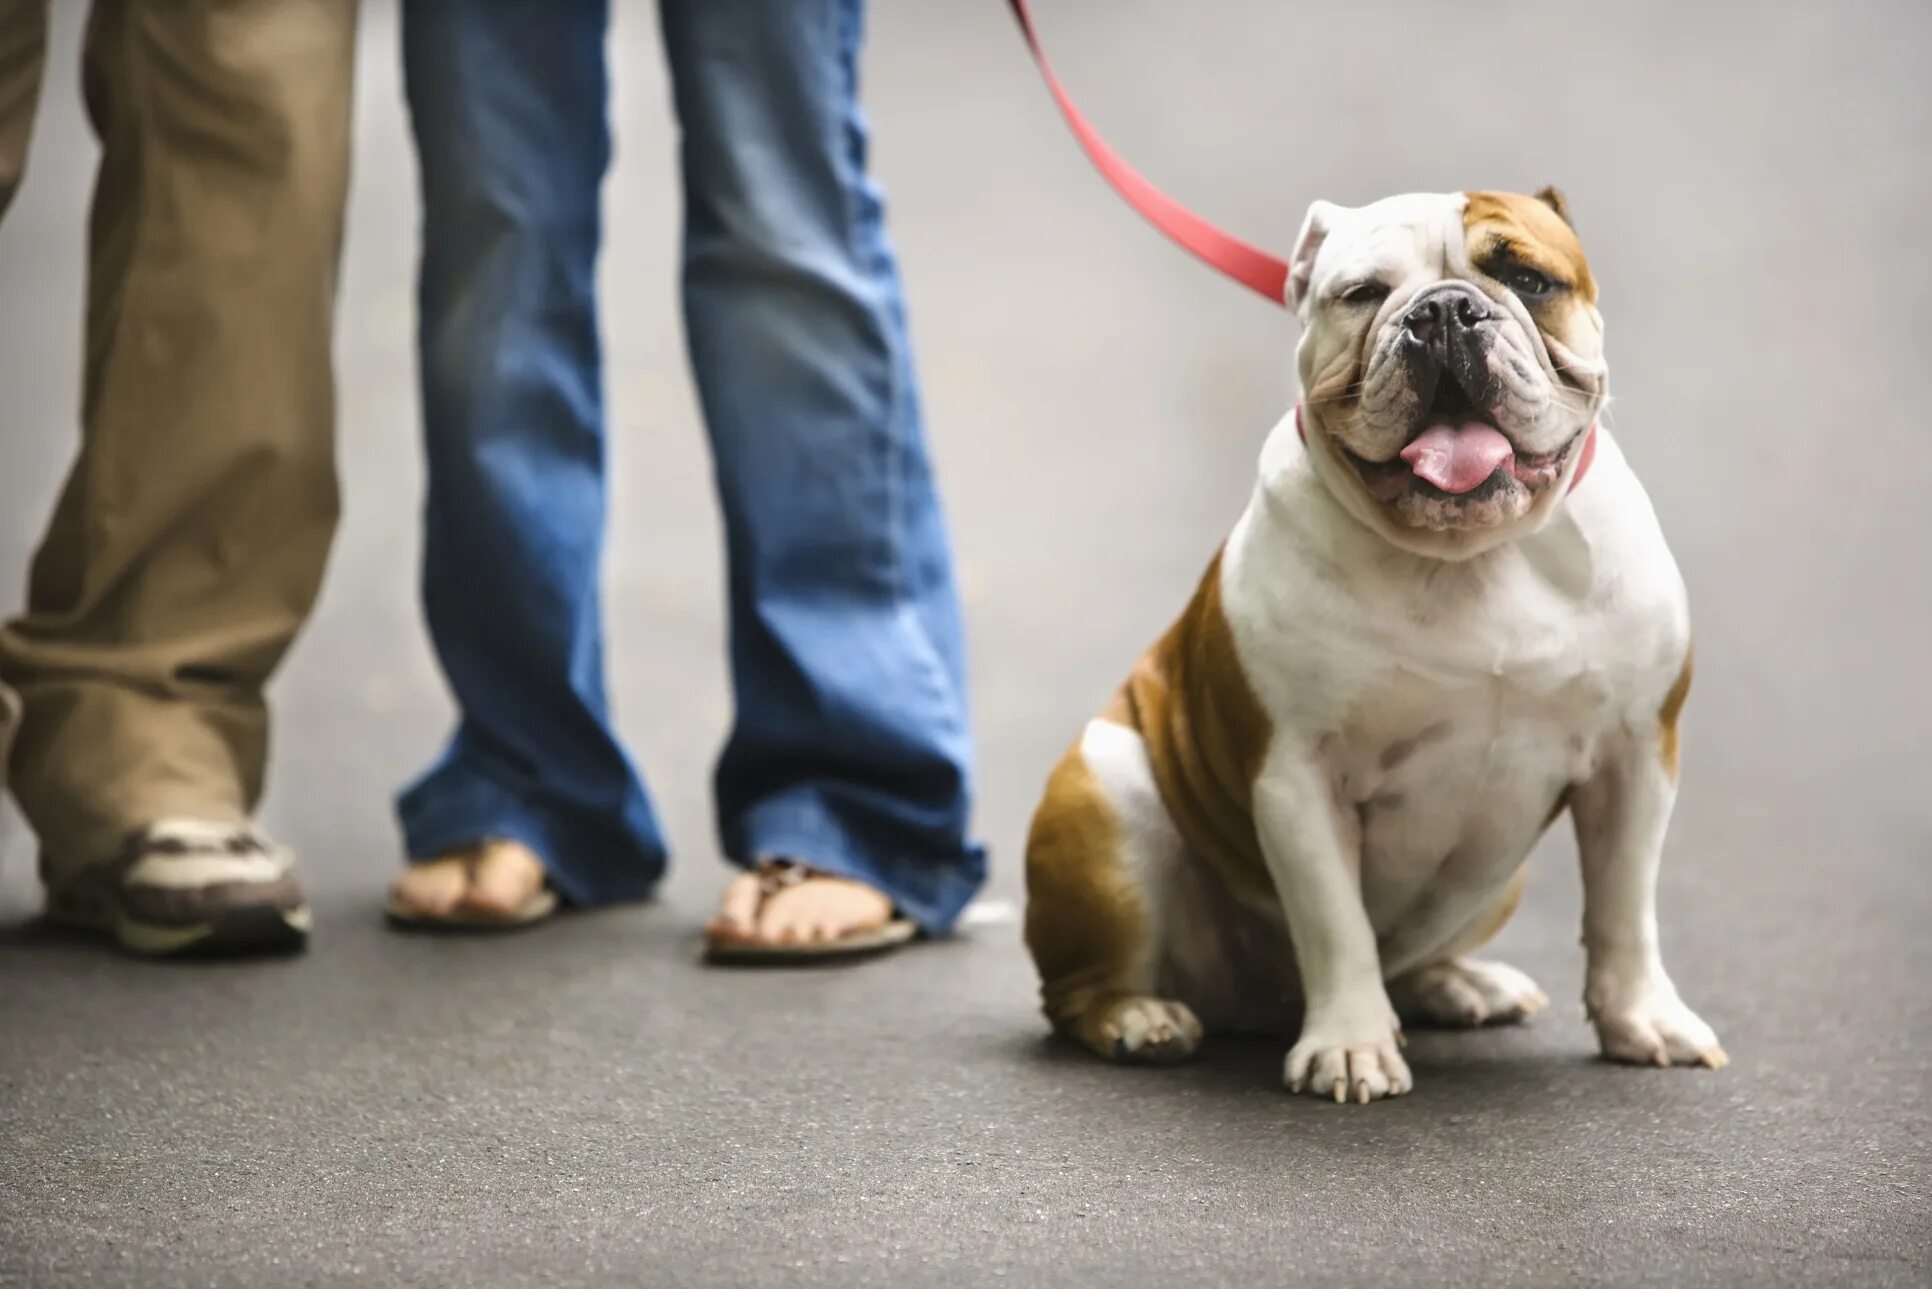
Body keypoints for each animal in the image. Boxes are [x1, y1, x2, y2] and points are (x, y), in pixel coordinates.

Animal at [1020, 186, 1731, 1105]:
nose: (1445, 310)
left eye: (1528, 279)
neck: (1471, 558)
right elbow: (1337, 923)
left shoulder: (1635, 755)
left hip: (1497, 882)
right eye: (1361, 294)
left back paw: (1461, 983)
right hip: (1108, 800)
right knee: (1079, 987)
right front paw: (1350, 1045)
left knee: (1420, 952)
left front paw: (1643, 1017)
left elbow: (1623, 906)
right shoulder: (1298, 778)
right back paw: (1138, 1017)